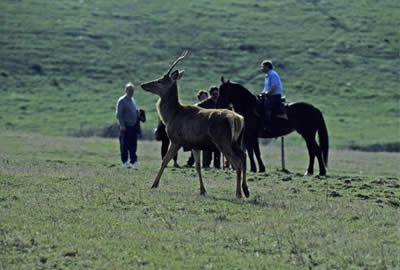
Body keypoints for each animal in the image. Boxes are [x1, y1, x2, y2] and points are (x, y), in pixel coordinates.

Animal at [139, 52, 248, 198]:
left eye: (160, 80)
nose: (143, 84)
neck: (171, 115)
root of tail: (238, 119)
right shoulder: (195, 144)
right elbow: (197, 166)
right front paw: (202, 190)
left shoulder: (176, 139)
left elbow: (164, 161)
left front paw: (154, 185)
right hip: (237, 141)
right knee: (244, 156)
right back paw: (246, 190)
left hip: (222, 141)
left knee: (237, 162)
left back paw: (238, 193)